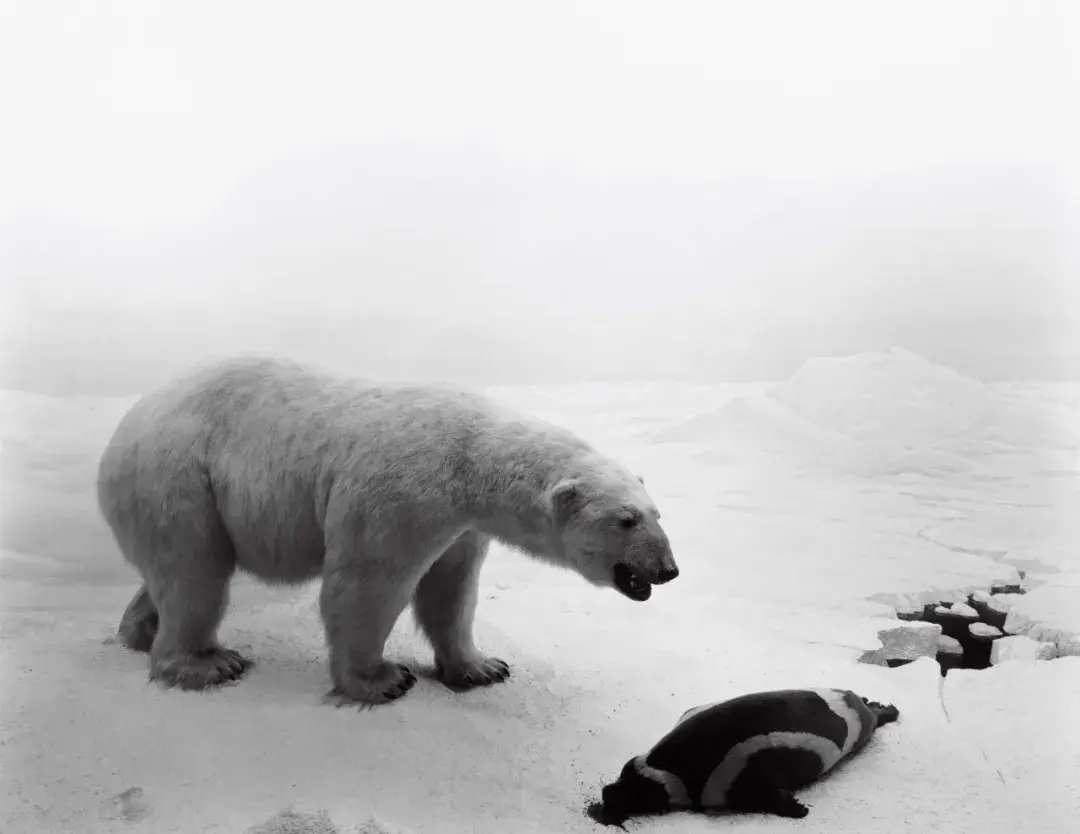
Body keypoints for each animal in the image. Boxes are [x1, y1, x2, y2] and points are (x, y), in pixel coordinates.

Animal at [97, 354, 678, 708]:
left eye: (658, 513)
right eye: (626, 520)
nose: (667, 569)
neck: (470, 456)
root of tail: (124, 426)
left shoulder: (462, 525)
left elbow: (452, 589)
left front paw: (482, 667)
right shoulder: (401, 491)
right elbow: (368, 582)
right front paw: (381, 679)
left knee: (175, 571)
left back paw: (139, 632)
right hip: (178, 477)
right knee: (196, 571)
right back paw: (206, 662)